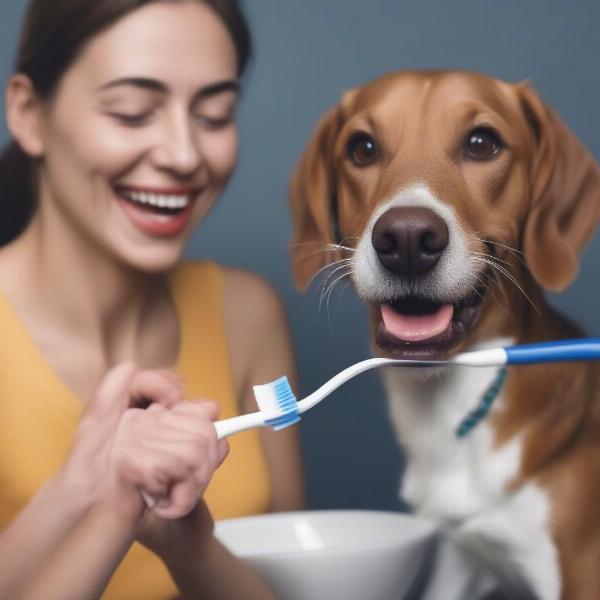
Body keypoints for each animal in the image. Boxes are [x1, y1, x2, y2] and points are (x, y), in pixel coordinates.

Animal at [290, 71, 600, 600]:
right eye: (362, 148)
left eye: (481, 143)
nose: (407, 239)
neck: (446, 403)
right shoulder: (456, 565)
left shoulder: (576, 571)